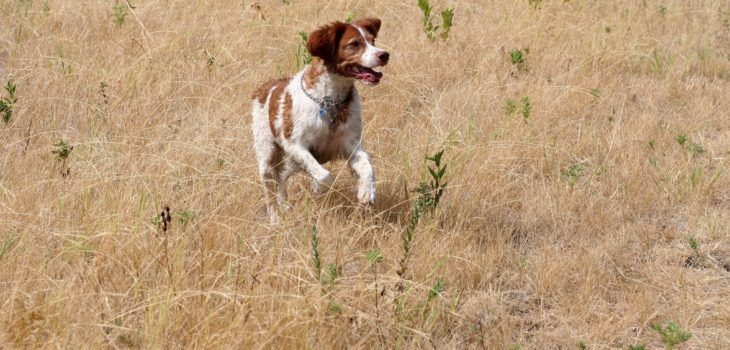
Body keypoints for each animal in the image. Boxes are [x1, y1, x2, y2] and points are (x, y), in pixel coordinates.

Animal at [249, 17, 386, 221]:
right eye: (354, 44)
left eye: (372, 41)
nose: (384, 55)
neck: (331, 102)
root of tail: (264, 88)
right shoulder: (295, 145)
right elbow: (324, 175)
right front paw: (317, 187)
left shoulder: (351, 145)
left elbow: (367, 166)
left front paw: (366, 191)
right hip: (267, 155)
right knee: (270, 191)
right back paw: (274, 219)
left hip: (290, 163)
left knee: (281, 177)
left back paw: (285, 206)